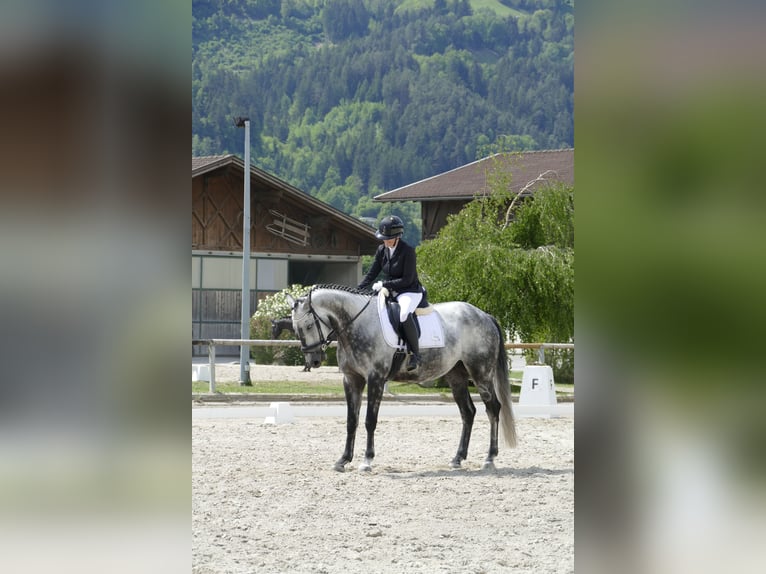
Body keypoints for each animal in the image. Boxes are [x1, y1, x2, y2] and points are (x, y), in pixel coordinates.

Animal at [286, 284, 516, 472]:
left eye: (309, 325)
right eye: (295, 329)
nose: (314, 360)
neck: (356, 324)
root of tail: (484, 315)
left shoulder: (376, 379)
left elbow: (370, 420)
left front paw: (367, 461)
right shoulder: (351, 380)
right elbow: (351, 421)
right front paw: (343, 460)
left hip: (481, 373)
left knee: (493, 409)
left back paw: (489, 458)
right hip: (457, 377)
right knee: (468, 413)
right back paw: (457, 459)